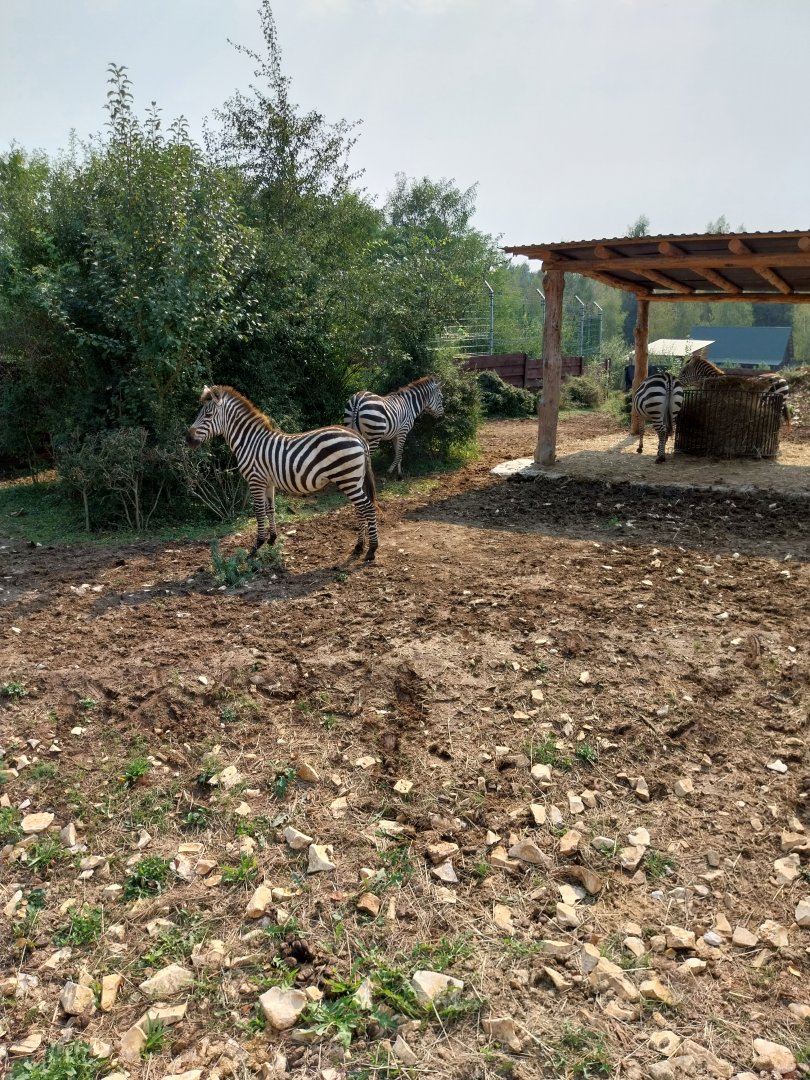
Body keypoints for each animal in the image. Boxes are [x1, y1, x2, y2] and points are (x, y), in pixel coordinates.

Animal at [186, 386, 379, 561]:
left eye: (208, 415)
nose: (187, 439)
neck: (249, 442)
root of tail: (357, 436)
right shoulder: (268, 482)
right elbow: (270, 509)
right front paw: (272, 539)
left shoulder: (255, 480)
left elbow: (259, 511)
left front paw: (257, 545)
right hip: (355, 480)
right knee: (360, 509)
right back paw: (359, 546)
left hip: (348, 479)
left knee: (368, 507)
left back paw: (371, 550)